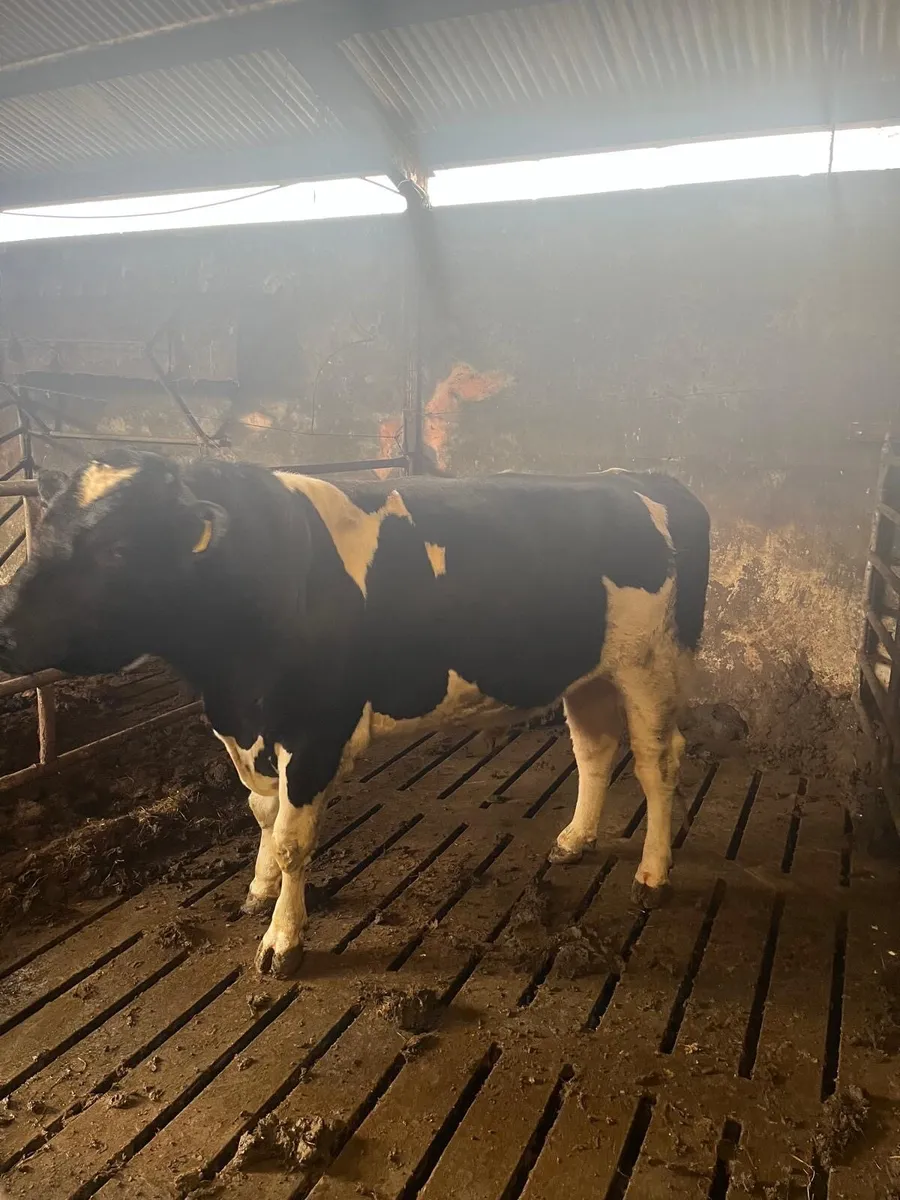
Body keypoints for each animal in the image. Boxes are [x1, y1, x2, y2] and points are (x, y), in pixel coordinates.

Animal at [0, 452, 710, 978]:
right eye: (43, 532)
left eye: (117, 550)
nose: (5, 625)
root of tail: (647, 478)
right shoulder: (246, 725)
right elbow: (262, 813)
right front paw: (258, 890)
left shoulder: (316, 729)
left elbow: (294, 839)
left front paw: (283, 942)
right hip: (586, 672)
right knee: (594, 748)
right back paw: (574, 839)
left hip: (652, 665)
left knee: (657, 764)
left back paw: (653, 873)